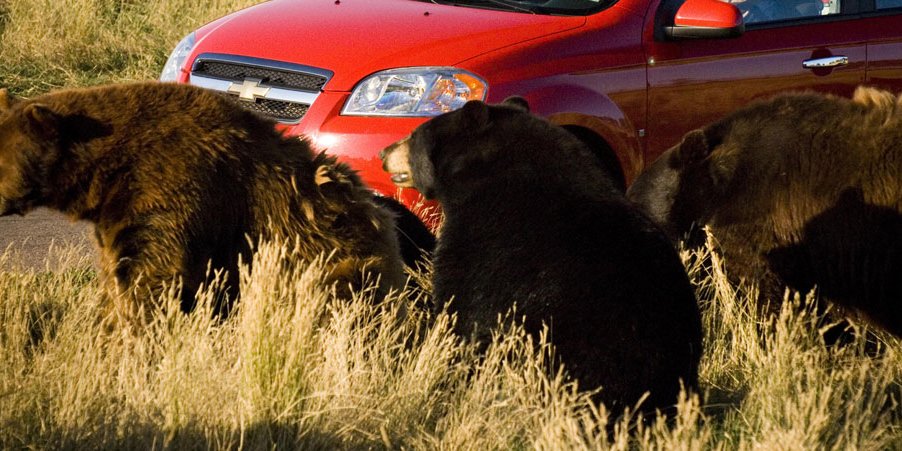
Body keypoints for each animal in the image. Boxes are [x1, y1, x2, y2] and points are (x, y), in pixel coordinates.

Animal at [0, 82, 407, 318]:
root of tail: (383, 222)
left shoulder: (172, 187)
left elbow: (153, 275)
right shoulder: (116, 215)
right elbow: (120, 271)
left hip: (334, 260)